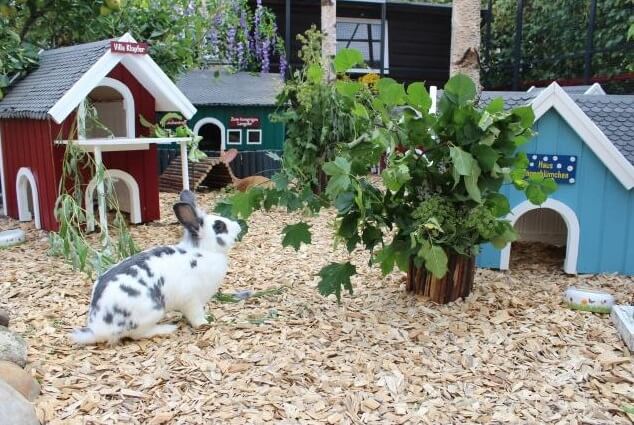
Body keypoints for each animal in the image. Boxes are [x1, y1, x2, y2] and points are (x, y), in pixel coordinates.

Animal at [70, 189, 241, 344]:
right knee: (137, 335)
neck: (203, 251)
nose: (238, 226)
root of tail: (98, 329)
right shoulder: (192, 300)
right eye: (219, 227)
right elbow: (196, 316)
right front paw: (205, 323)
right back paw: (166, 328)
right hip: (153, 311)